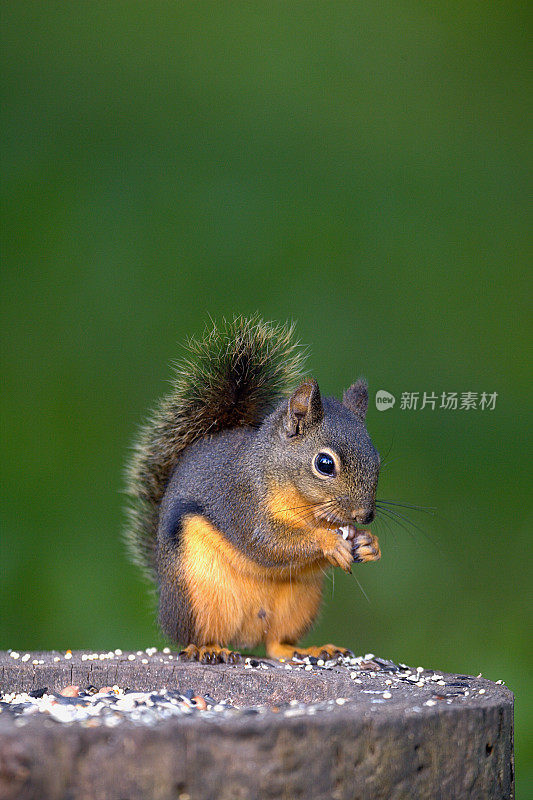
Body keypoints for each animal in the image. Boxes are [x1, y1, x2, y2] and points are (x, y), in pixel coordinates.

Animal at [126, 318, 380, 664]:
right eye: (325, 464)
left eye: (377, 458)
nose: (365, 516)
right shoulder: (242, 502)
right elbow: (267, 543)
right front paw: (328, 541)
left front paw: (368, 543)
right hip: (195, 591)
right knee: (193, 636)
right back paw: (208, 648)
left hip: (299, 602)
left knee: (276, 643)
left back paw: (309, 649)